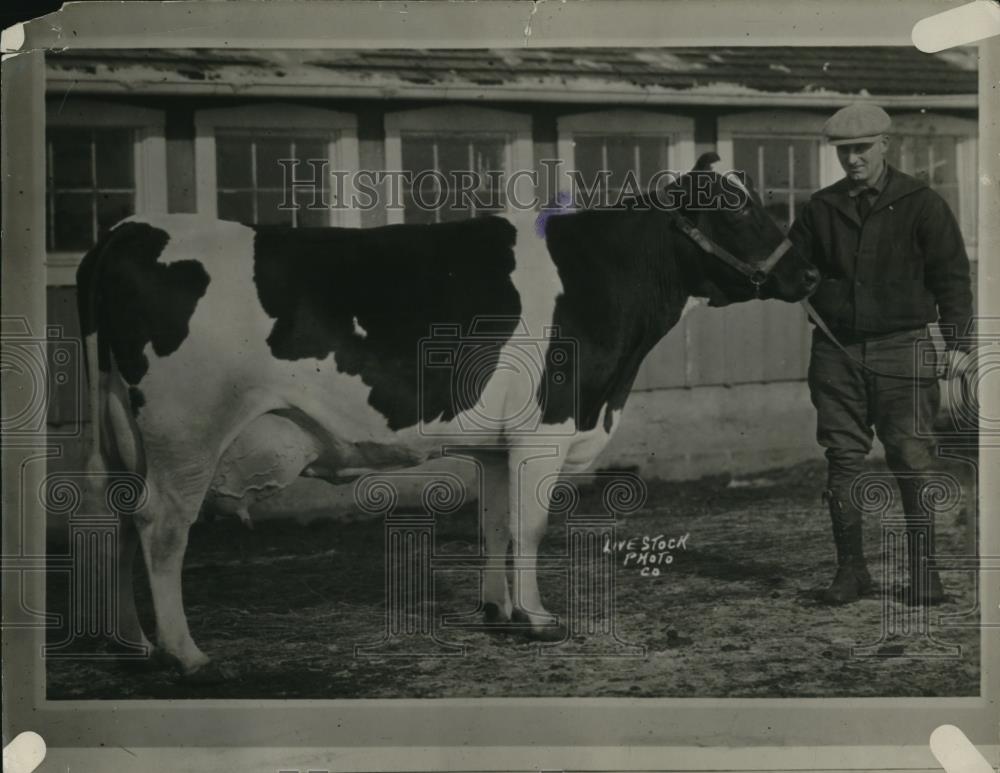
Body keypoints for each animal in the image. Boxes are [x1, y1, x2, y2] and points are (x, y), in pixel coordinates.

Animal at [77, 163, 819, 681]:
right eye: (734, 207)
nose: (809, 273)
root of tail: (125, 231)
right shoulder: (546, 428)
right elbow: (530, 524)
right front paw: (540, 617)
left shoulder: (497, 441)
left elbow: (495, 522)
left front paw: (499, 612)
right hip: (186, 431)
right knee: (161, 527)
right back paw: (185, 652)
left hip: (119, 432)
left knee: (112, 515)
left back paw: (129, 641)